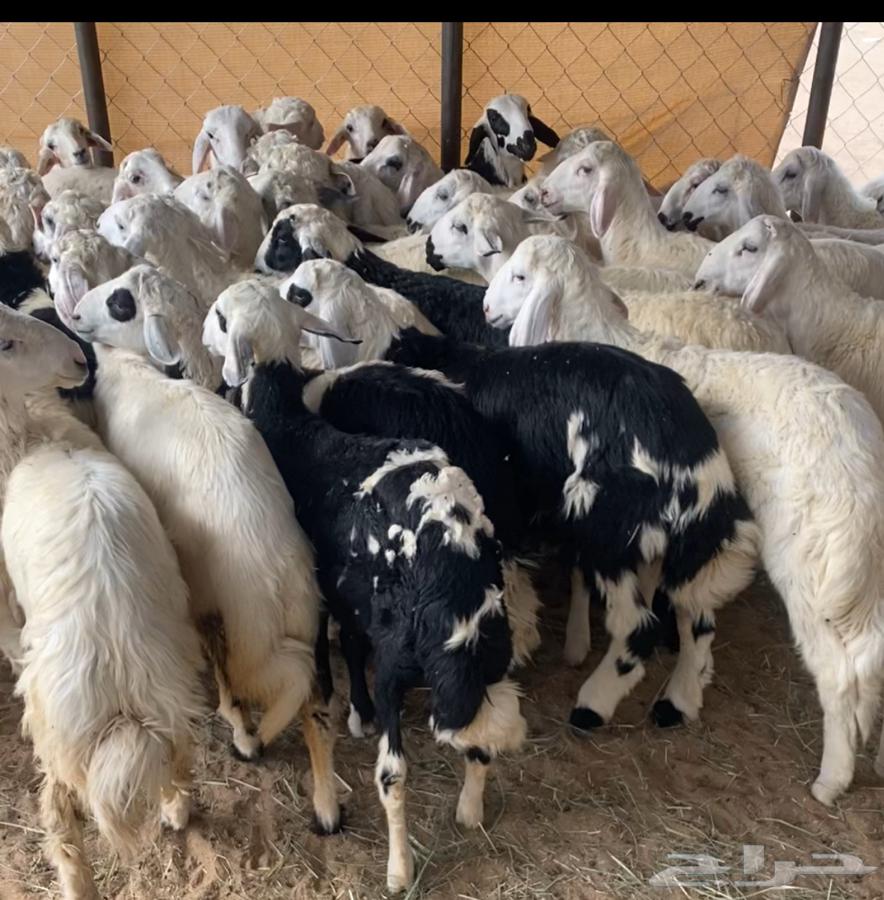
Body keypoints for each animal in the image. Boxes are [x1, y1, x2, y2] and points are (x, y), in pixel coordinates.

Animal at [0, 303, 205, 899]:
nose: (76, 358)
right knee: (180, 756)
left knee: (61, 818)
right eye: (6, 343)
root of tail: (116, 672)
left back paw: (76, 884)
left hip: (54, 733)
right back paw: (177, 810)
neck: (34, 436)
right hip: (169, 694)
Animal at [68, 268, 341, 835]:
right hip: (303, 623)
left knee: (282, 679)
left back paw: (250, 737)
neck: (138, 375)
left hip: (250, 635)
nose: (75, 312)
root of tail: (285, 572)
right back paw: (326, 804)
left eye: (121, 302)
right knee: (316, 705)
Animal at [203, 279, 526, 892]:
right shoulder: (349, 598)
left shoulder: (328, 595)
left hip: (399, 665)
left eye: (218, 315)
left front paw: (351, 715)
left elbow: (340, 665)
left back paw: (399, 871)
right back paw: (469, 813)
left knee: (393, 775)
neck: (287, 418)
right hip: (491, 658)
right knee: (483, 744)